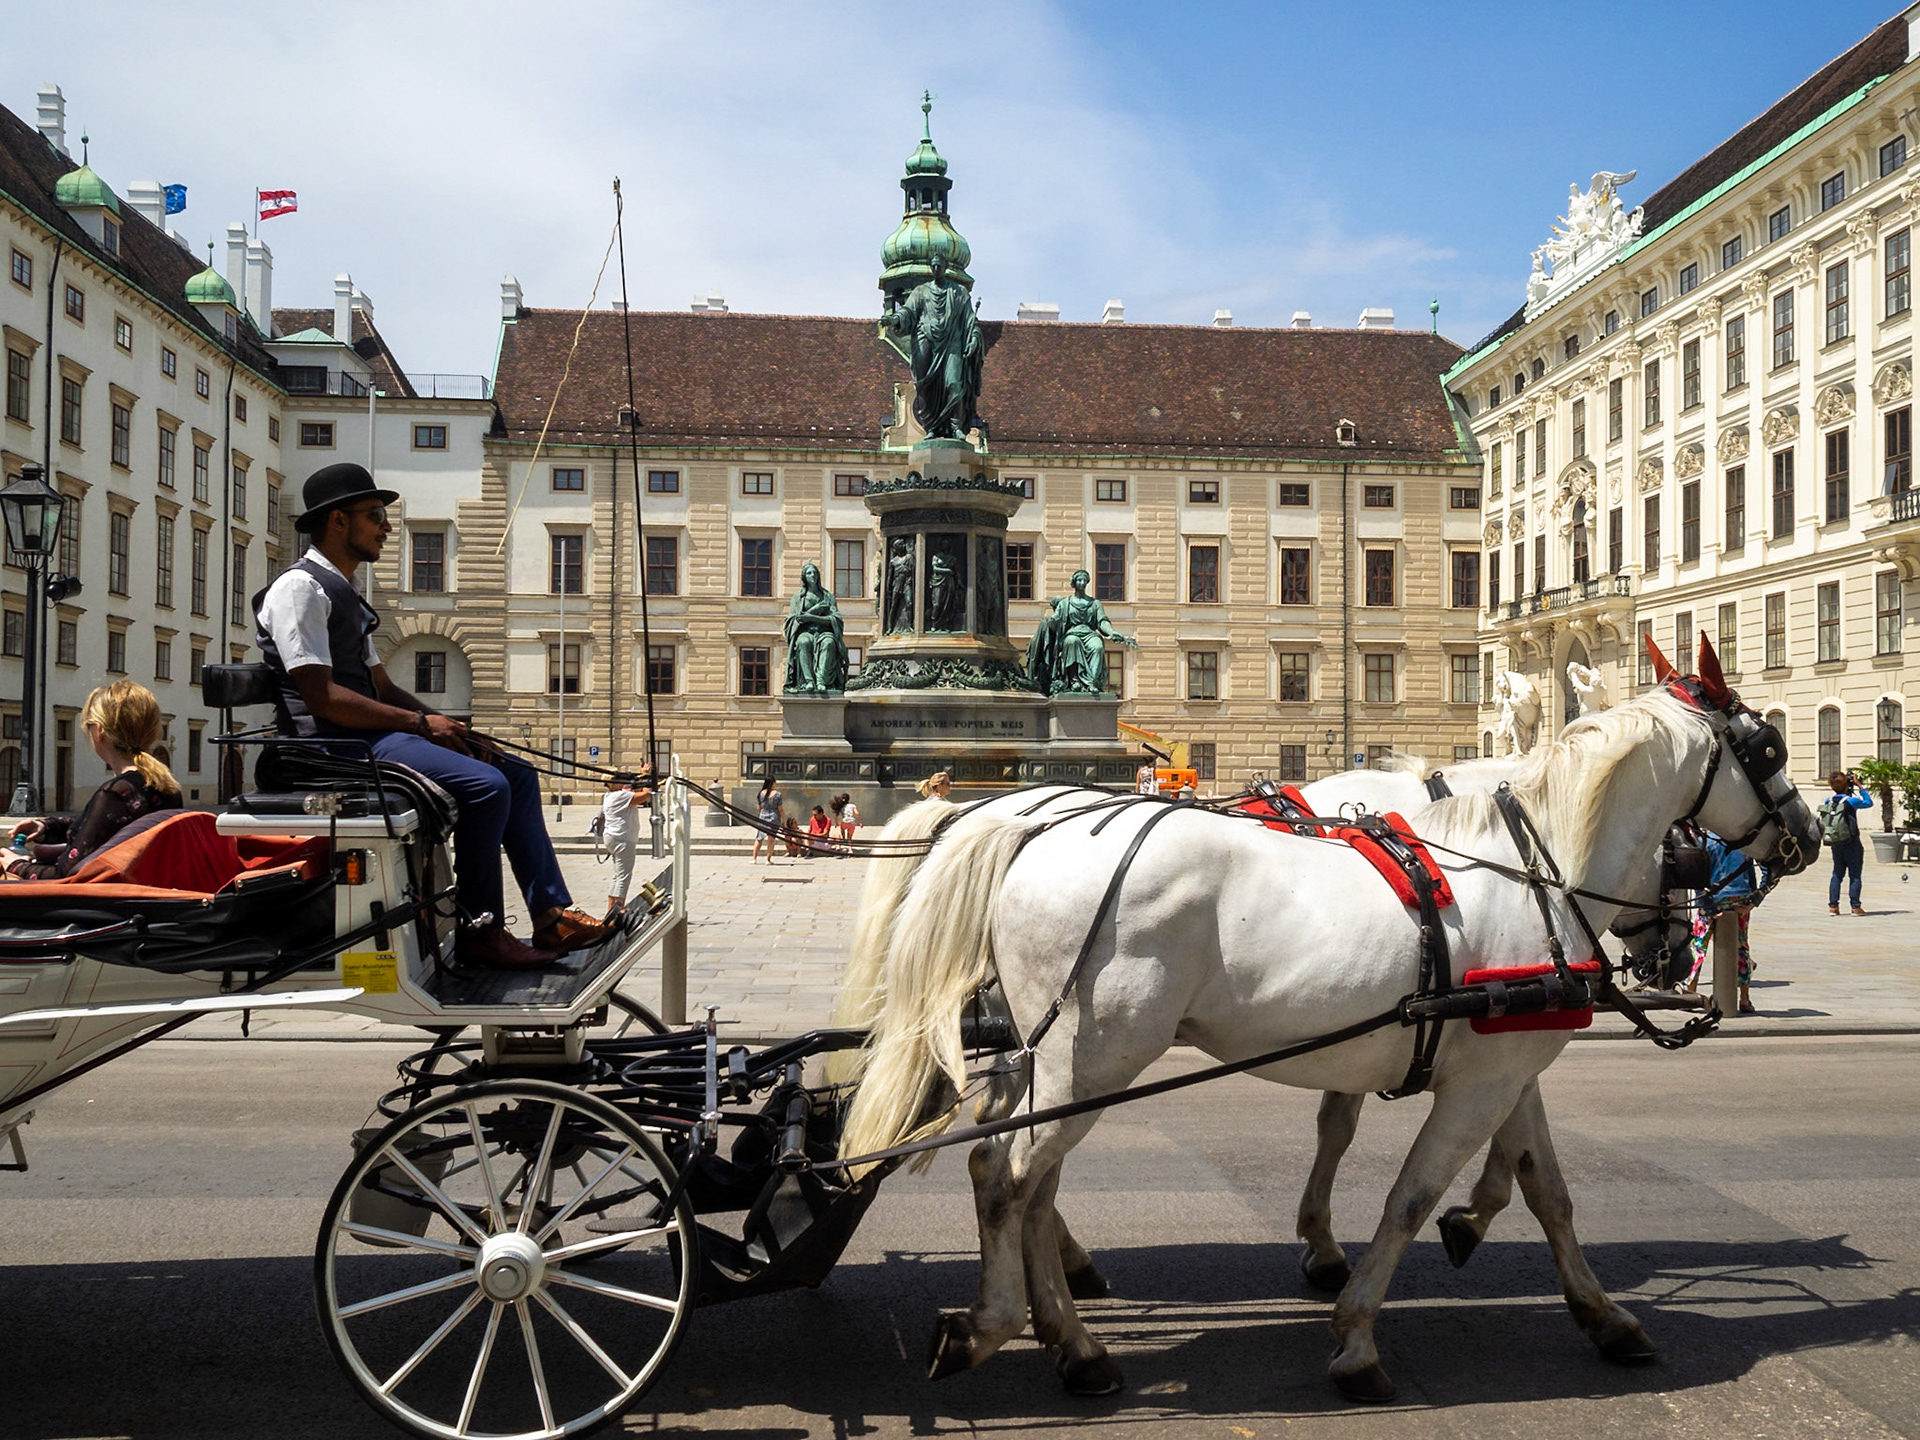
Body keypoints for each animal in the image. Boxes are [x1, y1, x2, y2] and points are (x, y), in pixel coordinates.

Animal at [839, 642, 1816, 1400]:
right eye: (1765, 745)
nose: (1804, 834)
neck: (1532, 867)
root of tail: (1018, 827)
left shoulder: (1501, 1065)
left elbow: (1546, 1190)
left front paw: (1598, 1312)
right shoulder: (1482, 1080)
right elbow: (1408, 1193)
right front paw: (1356, 1331)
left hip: (1046, 1057)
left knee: (1021, 1176)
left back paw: (1071, 1339)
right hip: (1090, 1057)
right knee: (1006, 1174)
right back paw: (1005, 1326)